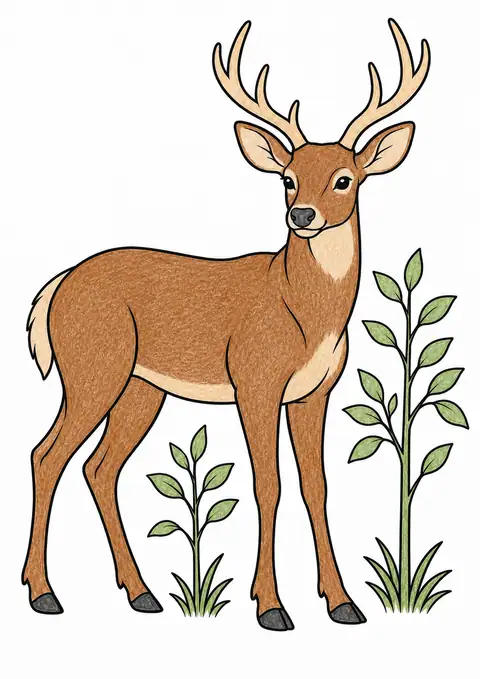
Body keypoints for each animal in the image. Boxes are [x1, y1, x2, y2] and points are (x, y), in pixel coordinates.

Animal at [23, 18, 430, 630]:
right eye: (287, 178)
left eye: (343, 179)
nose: (301, 215)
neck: (301, 311)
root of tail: (57, 286)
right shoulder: (255, 381)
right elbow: (269, 484)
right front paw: (271, 606)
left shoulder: (315, 392)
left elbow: (316, 485)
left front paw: (342, 603)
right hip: (93, 369)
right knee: (46, 456)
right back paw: (44, 593)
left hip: (141, 388)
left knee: (99, 467)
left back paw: (141, 593)